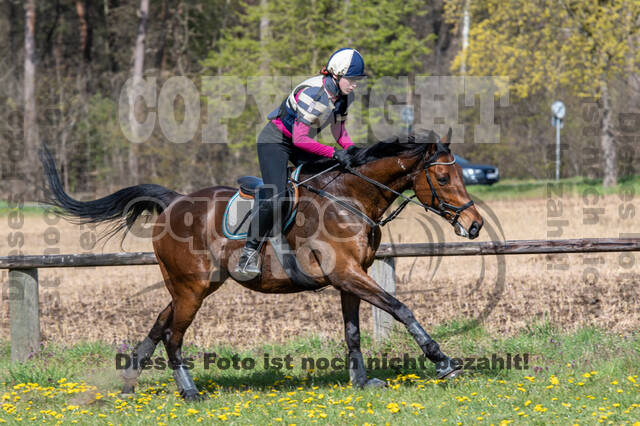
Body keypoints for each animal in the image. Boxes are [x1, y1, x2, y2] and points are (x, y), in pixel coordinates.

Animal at [40, 128, 482, 402]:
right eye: (444, 179)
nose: (474, 224)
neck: (350, 198)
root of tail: (174, 201)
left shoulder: (350, 278)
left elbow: (353, 331)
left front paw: (360, 381)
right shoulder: (347, 273)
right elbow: (400, 308)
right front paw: (442, 361)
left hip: (192, 285)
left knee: (159, 324)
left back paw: (130, 381)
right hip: (192, 288)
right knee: (173, 336)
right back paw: (189, 391)